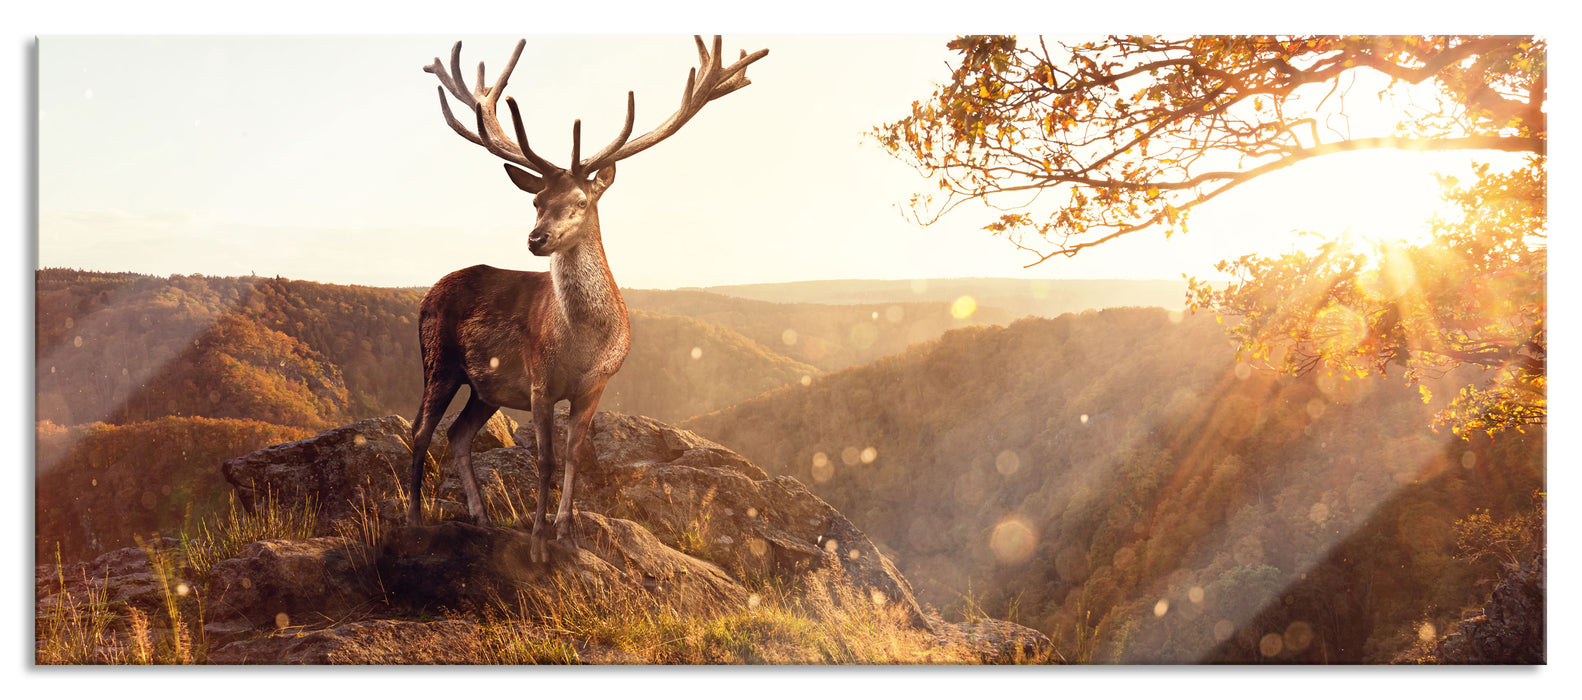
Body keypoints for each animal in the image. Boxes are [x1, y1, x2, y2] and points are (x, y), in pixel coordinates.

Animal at [409, 37, 768, 563]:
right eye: (536, 202)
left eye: (582, 201)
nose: (536, 238)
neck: (583, 345)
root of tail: (427, 294)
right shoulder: (539, 380)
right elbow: (544, 459)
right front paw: (538, 543)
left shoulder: (596, 385)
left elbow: (575, 456)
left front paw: (567, 534)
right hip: (440, 360)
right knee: (421, 431)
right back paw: (413, 521)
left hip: (485, 386)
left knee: (457, 433)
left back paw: (481, 517)